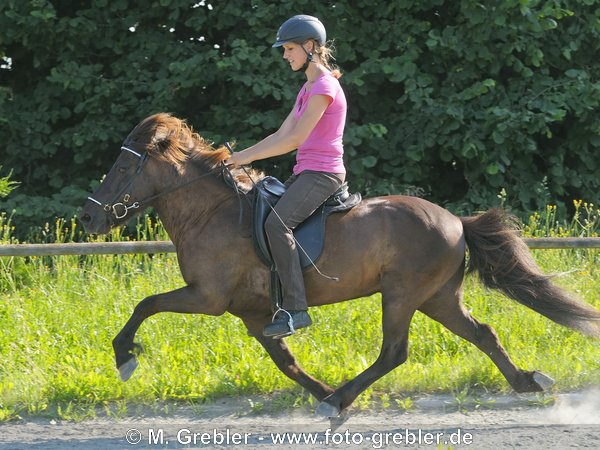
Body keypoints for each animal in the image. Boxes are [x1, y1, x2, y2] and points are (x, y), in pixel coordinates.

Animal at [79, 113, 600, 418]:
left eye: (122, 168)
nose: (87, 217)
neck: (211, 212)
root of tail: (455, 220)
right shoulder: (253, 313)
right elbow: (285, 361)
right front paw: (321, 392)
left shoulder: (207, 297)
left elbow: (146, 304)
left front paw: (124, 356)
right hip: (437, 297)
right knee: (484, 334)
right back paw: (528, 382)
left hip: (403, 295)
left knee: (394, 352)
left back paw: (344, 399)